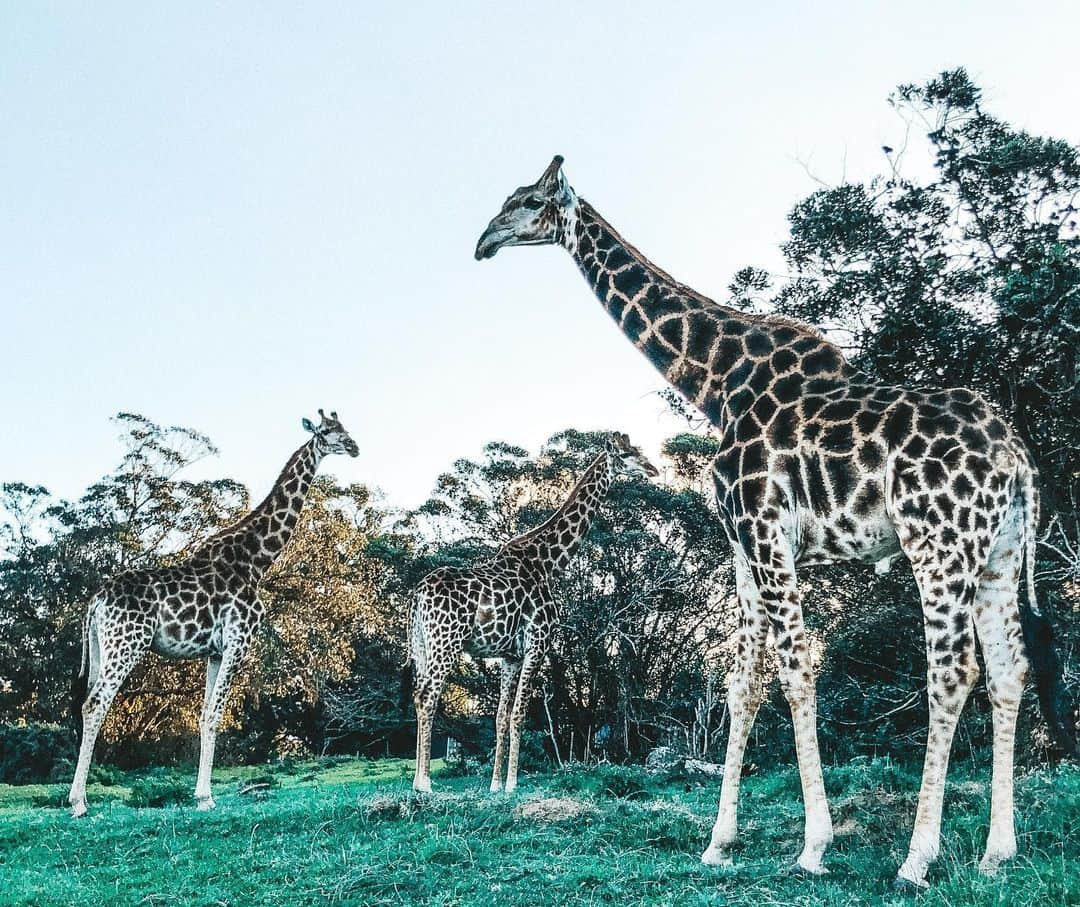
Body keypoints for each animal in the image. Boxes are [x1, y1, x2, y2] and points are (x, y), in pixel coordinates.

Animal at [69, 408, 360, 816]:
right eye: (327, 432)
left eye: (345, 428)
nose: (354, 446)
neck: (258, 558)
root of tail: (96, 601)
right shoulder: (238, 641)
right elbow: (215, 714)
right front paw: (205, 797)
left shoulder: (214, 652)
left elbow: (206, 714)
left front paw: (201, 793)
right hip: (127, 644)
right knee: (96, 705)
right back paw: (78, 802)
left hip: (101, 648)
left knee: (86, 704)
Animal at [406, 431, 652, 794]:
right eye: (625, 455)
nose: (652, 469)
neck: (547, 562)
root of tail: (417, 595)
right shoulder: (538, 643)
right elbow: (520, 713)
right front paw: (512, 784)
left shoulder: (510, 655)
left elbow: (500, 717)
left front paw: (495, 785)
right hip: (446, 643)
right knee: (427, 697)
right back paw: (424, 784)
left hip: (422, 645)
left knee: (418, 696)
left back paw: (417, 780)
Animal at [473, 155, 1071, 885]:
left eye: (526, 202)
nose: (484, 242)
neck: (717, 383)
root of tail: (1015, 452)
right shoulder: (743, 545)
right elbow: (741, 684)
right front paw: (718, 842)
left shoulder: (761, 525)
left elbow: (794, 669)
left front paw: (814, 844)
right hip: (999, 551)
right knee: (1009, 667)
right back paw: (996, 851)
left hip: (938, 542)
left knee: (953, 669)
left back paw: (917, 856)